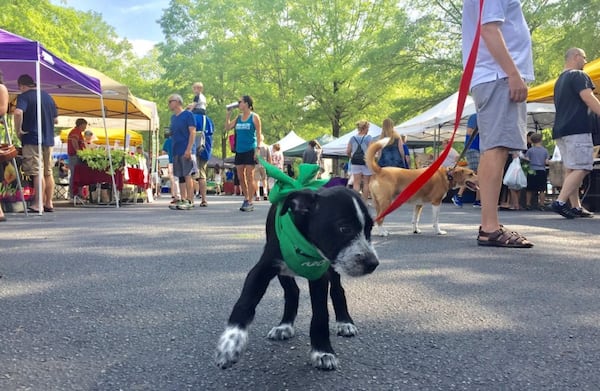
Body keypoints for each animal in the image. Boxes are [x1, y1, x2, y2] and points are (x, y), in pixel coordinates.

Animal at [213, 187, 378, 370]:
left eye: (370, 229)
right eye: (344, 228)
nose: (373, 263)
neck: (304, 245)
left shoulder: (319, 275)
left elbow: (320, 315)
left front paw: (322, 351)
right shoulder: (262, 269)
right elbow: (244, 303)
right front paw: (230, 343)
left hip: (332, 268)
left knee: (337, 290)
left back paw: (345, 322)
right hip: (284, 273)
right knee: (292, 292)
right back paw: (284, 326)